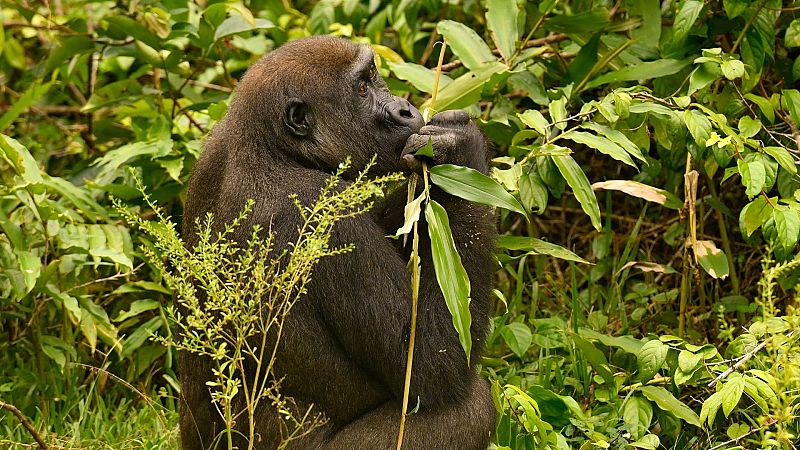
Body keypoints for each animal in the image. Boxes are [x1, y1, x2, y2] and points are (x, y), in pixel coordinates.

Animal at [180, 36, 500, 450]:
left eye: (373, 76)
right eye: (361, 89)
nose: (405, 109)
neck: (271, 146)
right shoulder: (326, 215)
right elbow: (427, 367)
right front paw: (461, 150)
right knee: (469, 408)